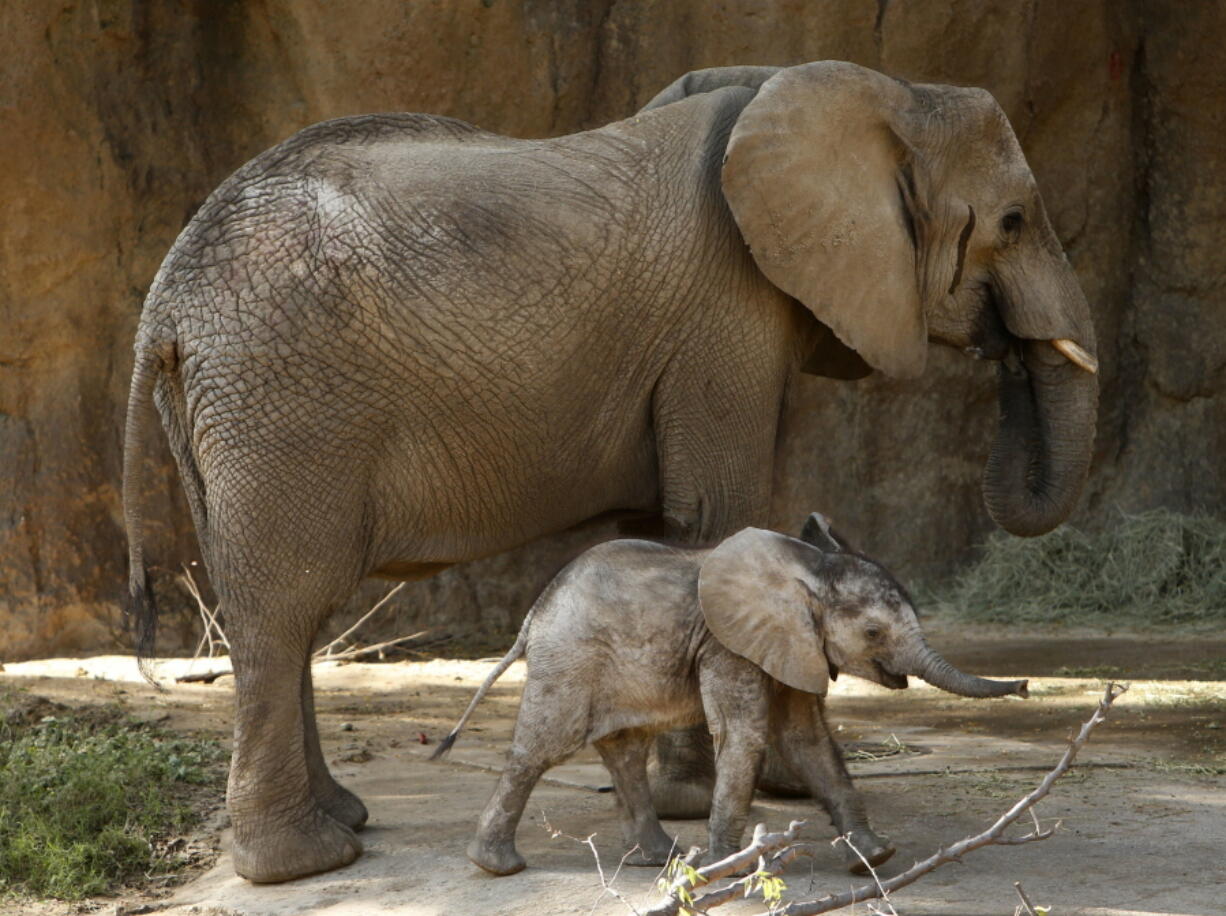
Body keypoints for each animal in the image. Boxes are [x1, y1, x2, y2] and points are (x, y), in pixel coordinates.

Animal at [431, 512, 1024, 877]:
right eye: (875, 632)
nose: (1023, 685)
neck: (805, 572)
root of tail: (532, 616)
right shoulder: (728, 645)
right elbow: (746, 736)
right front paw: (724, 871)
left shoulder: (792, 644)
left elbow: (809, 741)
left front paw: (875, 859)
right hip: (570, 657)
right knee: (543, 748)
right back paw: (497, 866)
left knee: (624, 750)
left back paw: (661, 860)